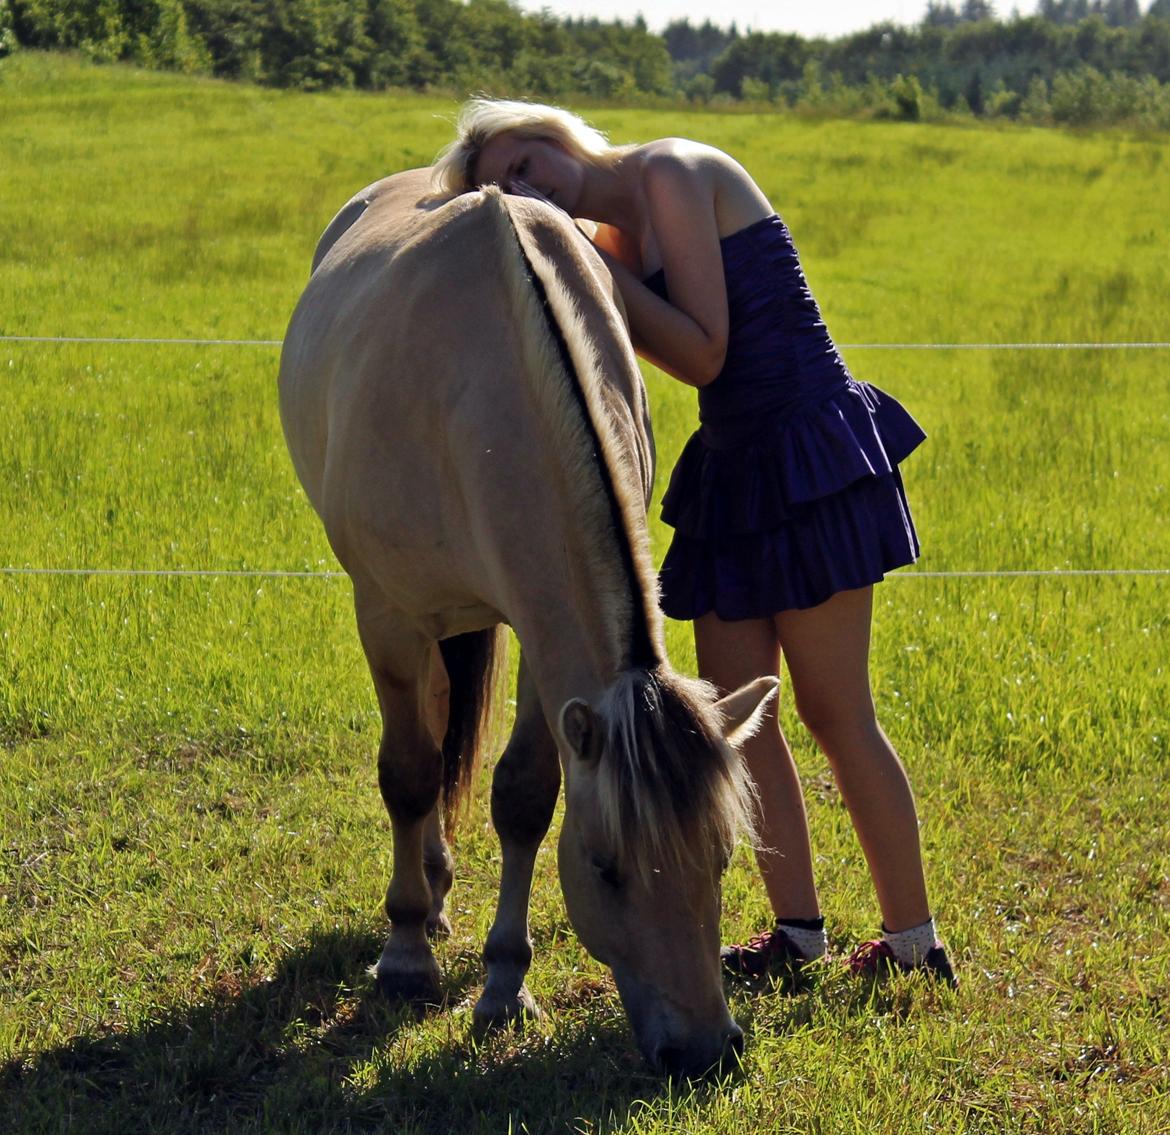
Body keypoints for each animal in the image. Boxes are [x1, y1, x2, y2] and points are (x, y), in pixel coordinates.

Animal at [276, 166, 776, 1071]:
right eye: (607, 867)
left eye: (722, 858)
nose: (703, 1050)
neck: (485, 386)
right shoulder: (388, 617)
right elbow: (408, 771)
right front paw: (405, 956)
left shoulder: (548, 650)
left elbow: (523, 794)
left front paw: (505, 983)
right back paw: (425, 902)